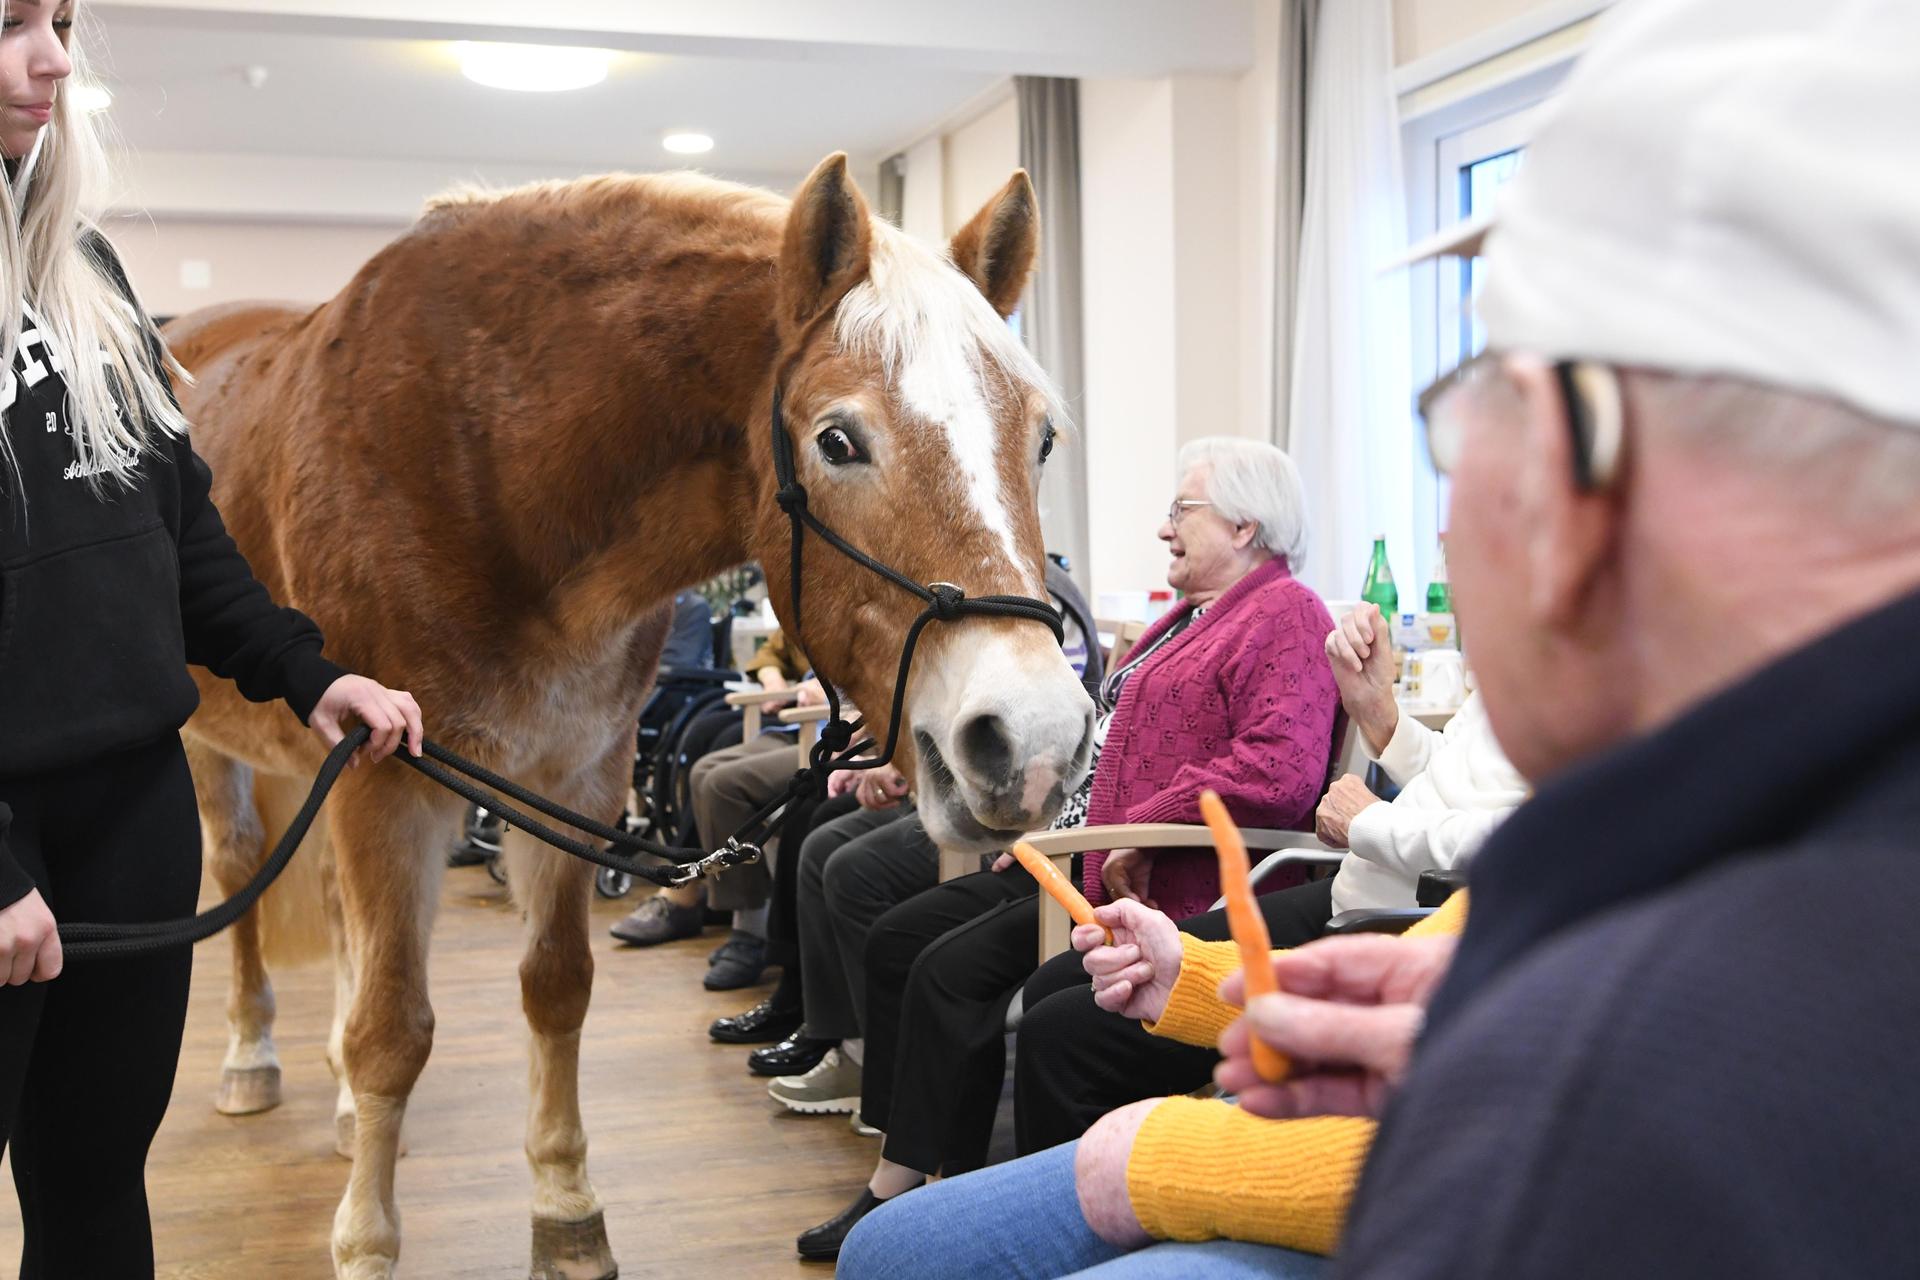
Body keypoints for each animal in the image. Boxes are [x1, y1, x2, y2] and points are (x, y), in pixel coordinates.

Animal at [162, 153, 1096, 1279]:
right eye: (838, 439)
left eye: (1041, 436)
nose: (1034, 741)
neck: (482, 452)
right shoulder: (390, 779)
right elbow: (392, 1030)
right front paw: (367, 1244)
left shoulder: (577, 775)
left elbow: (557, 986)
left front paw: (566, 1211)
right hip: (223, 755)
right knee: (238, 880)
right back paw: (250, 1057)